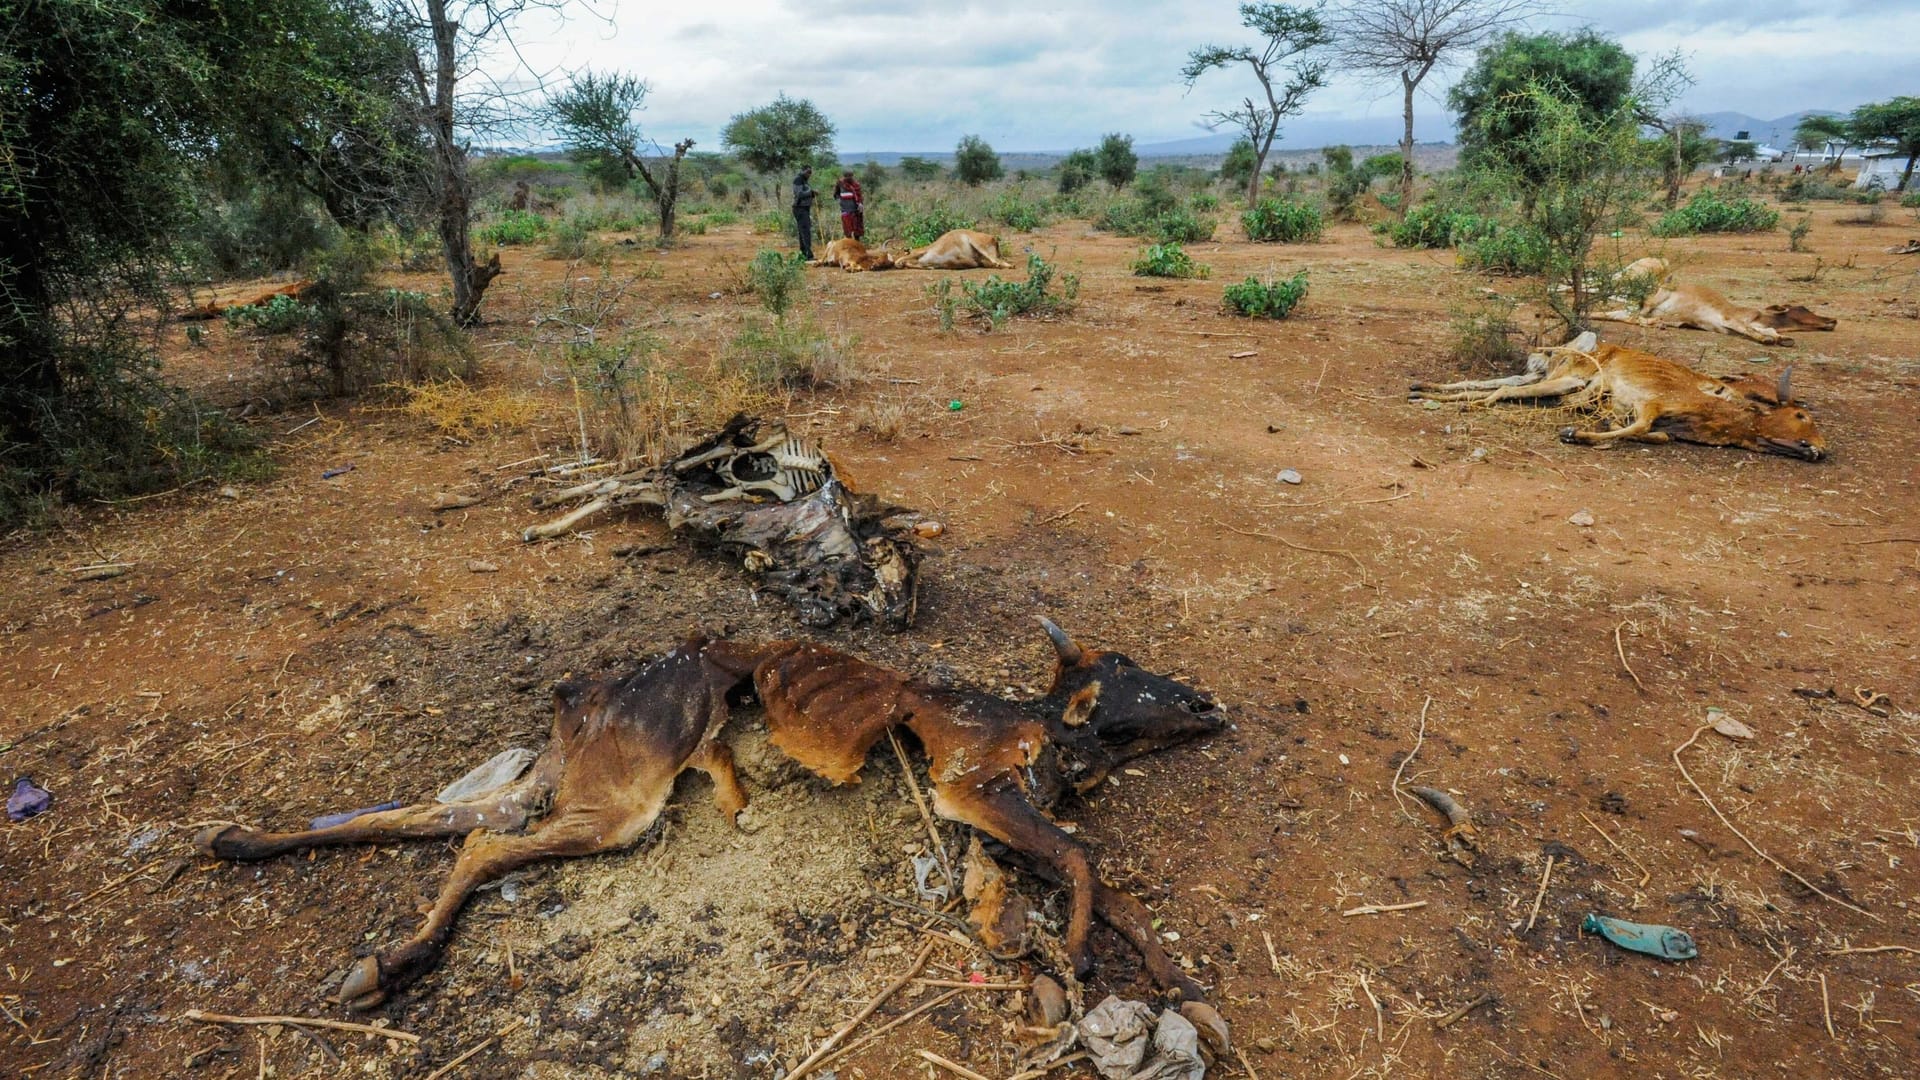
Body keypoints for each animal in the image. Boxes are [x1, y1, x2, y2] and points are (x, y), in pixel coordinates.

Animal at [194, 630, 748, 1006]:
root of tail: (578, 699)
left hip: (549, 781)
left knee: (428, 819)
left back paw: (233, 838)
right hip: (618, 803)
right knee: (484, 845)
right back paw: (392, 966)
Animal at [710, 618, 1228, 999]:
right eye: (1122, 669)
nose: (1205, 705)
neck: (1050, 730)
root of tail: (760, 647)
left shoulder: (1011, 840)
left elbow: (1120, 900)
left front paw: (1178, 982)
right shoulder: (978, 792)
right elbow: (1078, 852)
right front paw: (1076, 956)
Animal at [1413, 336, 1827, 453]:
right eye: (1802, 416)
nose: (1821, 449)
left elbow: (1651, 434)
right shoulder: (1651, 403)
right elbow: (1638, 428)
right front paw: (1574, 433)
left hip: (1556, 379)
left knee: (1496, 384)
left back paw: (1423, 391)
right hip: (1564, 381)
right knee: (1498, 388)